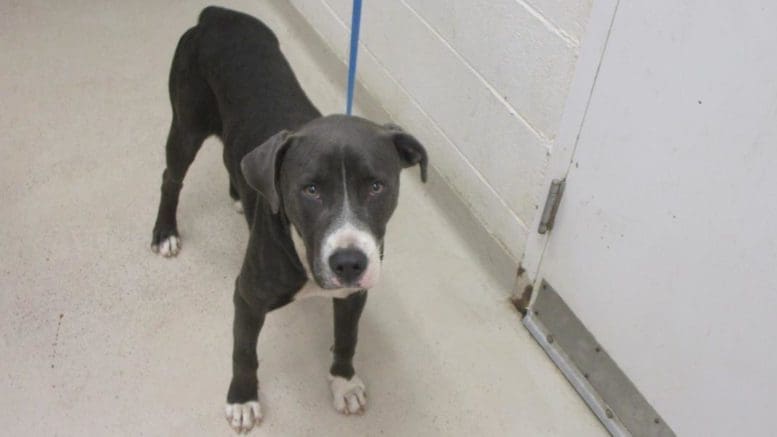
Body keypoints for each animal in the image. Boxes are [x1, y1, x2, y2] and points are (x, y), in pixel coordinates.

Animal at [149, 6, 428, 432]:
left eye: (376, 186)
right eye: (310, 189)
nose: (349, 262)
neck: (302, 247)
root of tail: (218, 15)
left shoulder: (354, 294)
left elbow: (347, 338)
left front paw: (343, 383)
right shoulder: (248, 297)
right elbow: (244, 353)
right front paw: (242, 398)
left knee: (233, 160)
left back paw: (239, 196)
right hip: (186, 125)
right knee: (171, 179)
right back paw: (165, 231)